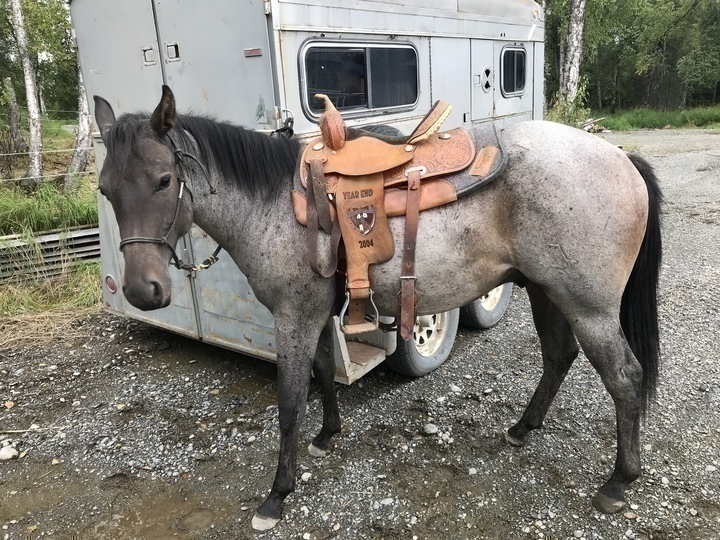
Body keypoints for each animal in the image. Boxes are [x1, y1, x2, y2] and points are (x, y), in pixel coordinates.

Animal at [93, 85, 662, 531]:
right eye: (105, 189)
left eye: (164, 180)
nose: (143, 291)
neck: (274, 205)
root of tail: (621, 158)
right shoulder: (316, 312)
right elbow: (324, 371)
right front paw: (327, 436)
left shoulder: (292, 315)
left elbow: (289, 402)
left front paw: (276, 495)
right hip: (547, 291)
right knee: (559, 356)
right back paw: (522, 429)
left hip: (588, 307)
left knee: (625, 378)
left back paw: (618, 482)